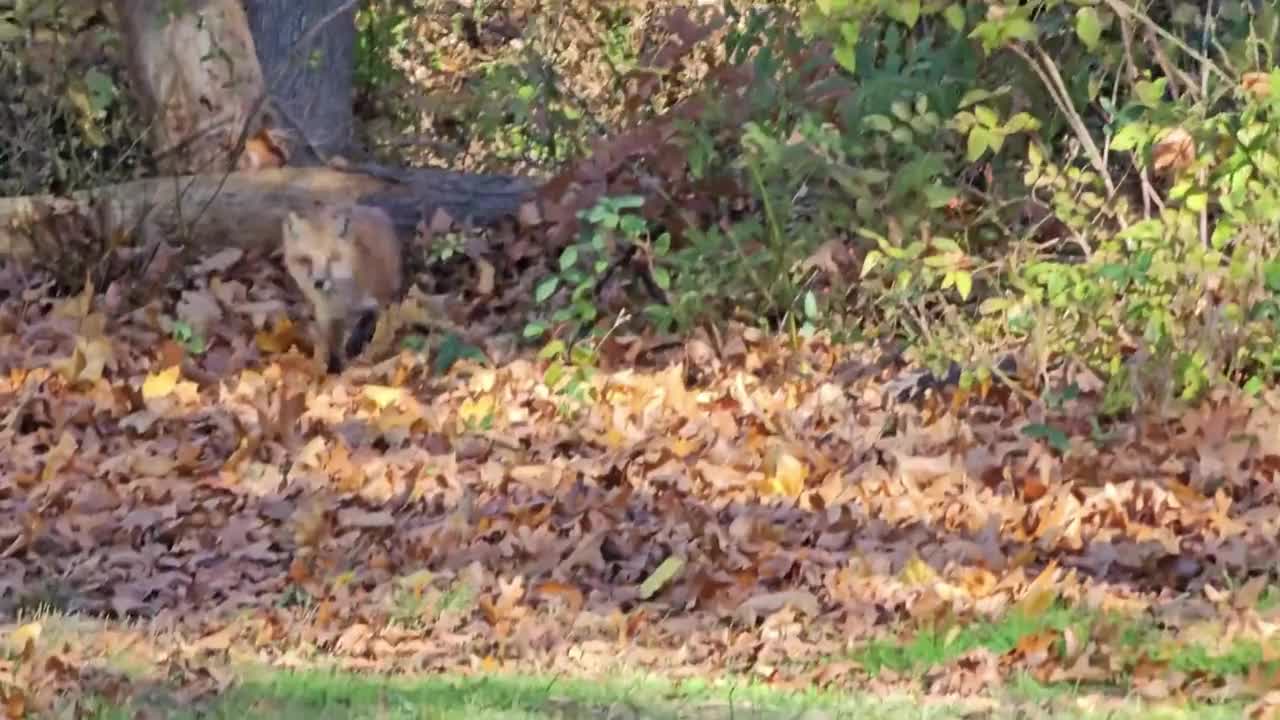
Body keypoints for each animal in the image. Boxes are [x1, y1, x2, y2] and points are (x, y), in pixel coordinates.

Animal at [282, 199, 401, 371]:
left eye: (333, 258)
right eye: (305, 260)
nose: (319, 283)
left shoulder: (380, 303)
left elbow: (373, 329)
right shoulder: (327, 314)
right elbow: (328, 345)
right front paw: (325, 368)